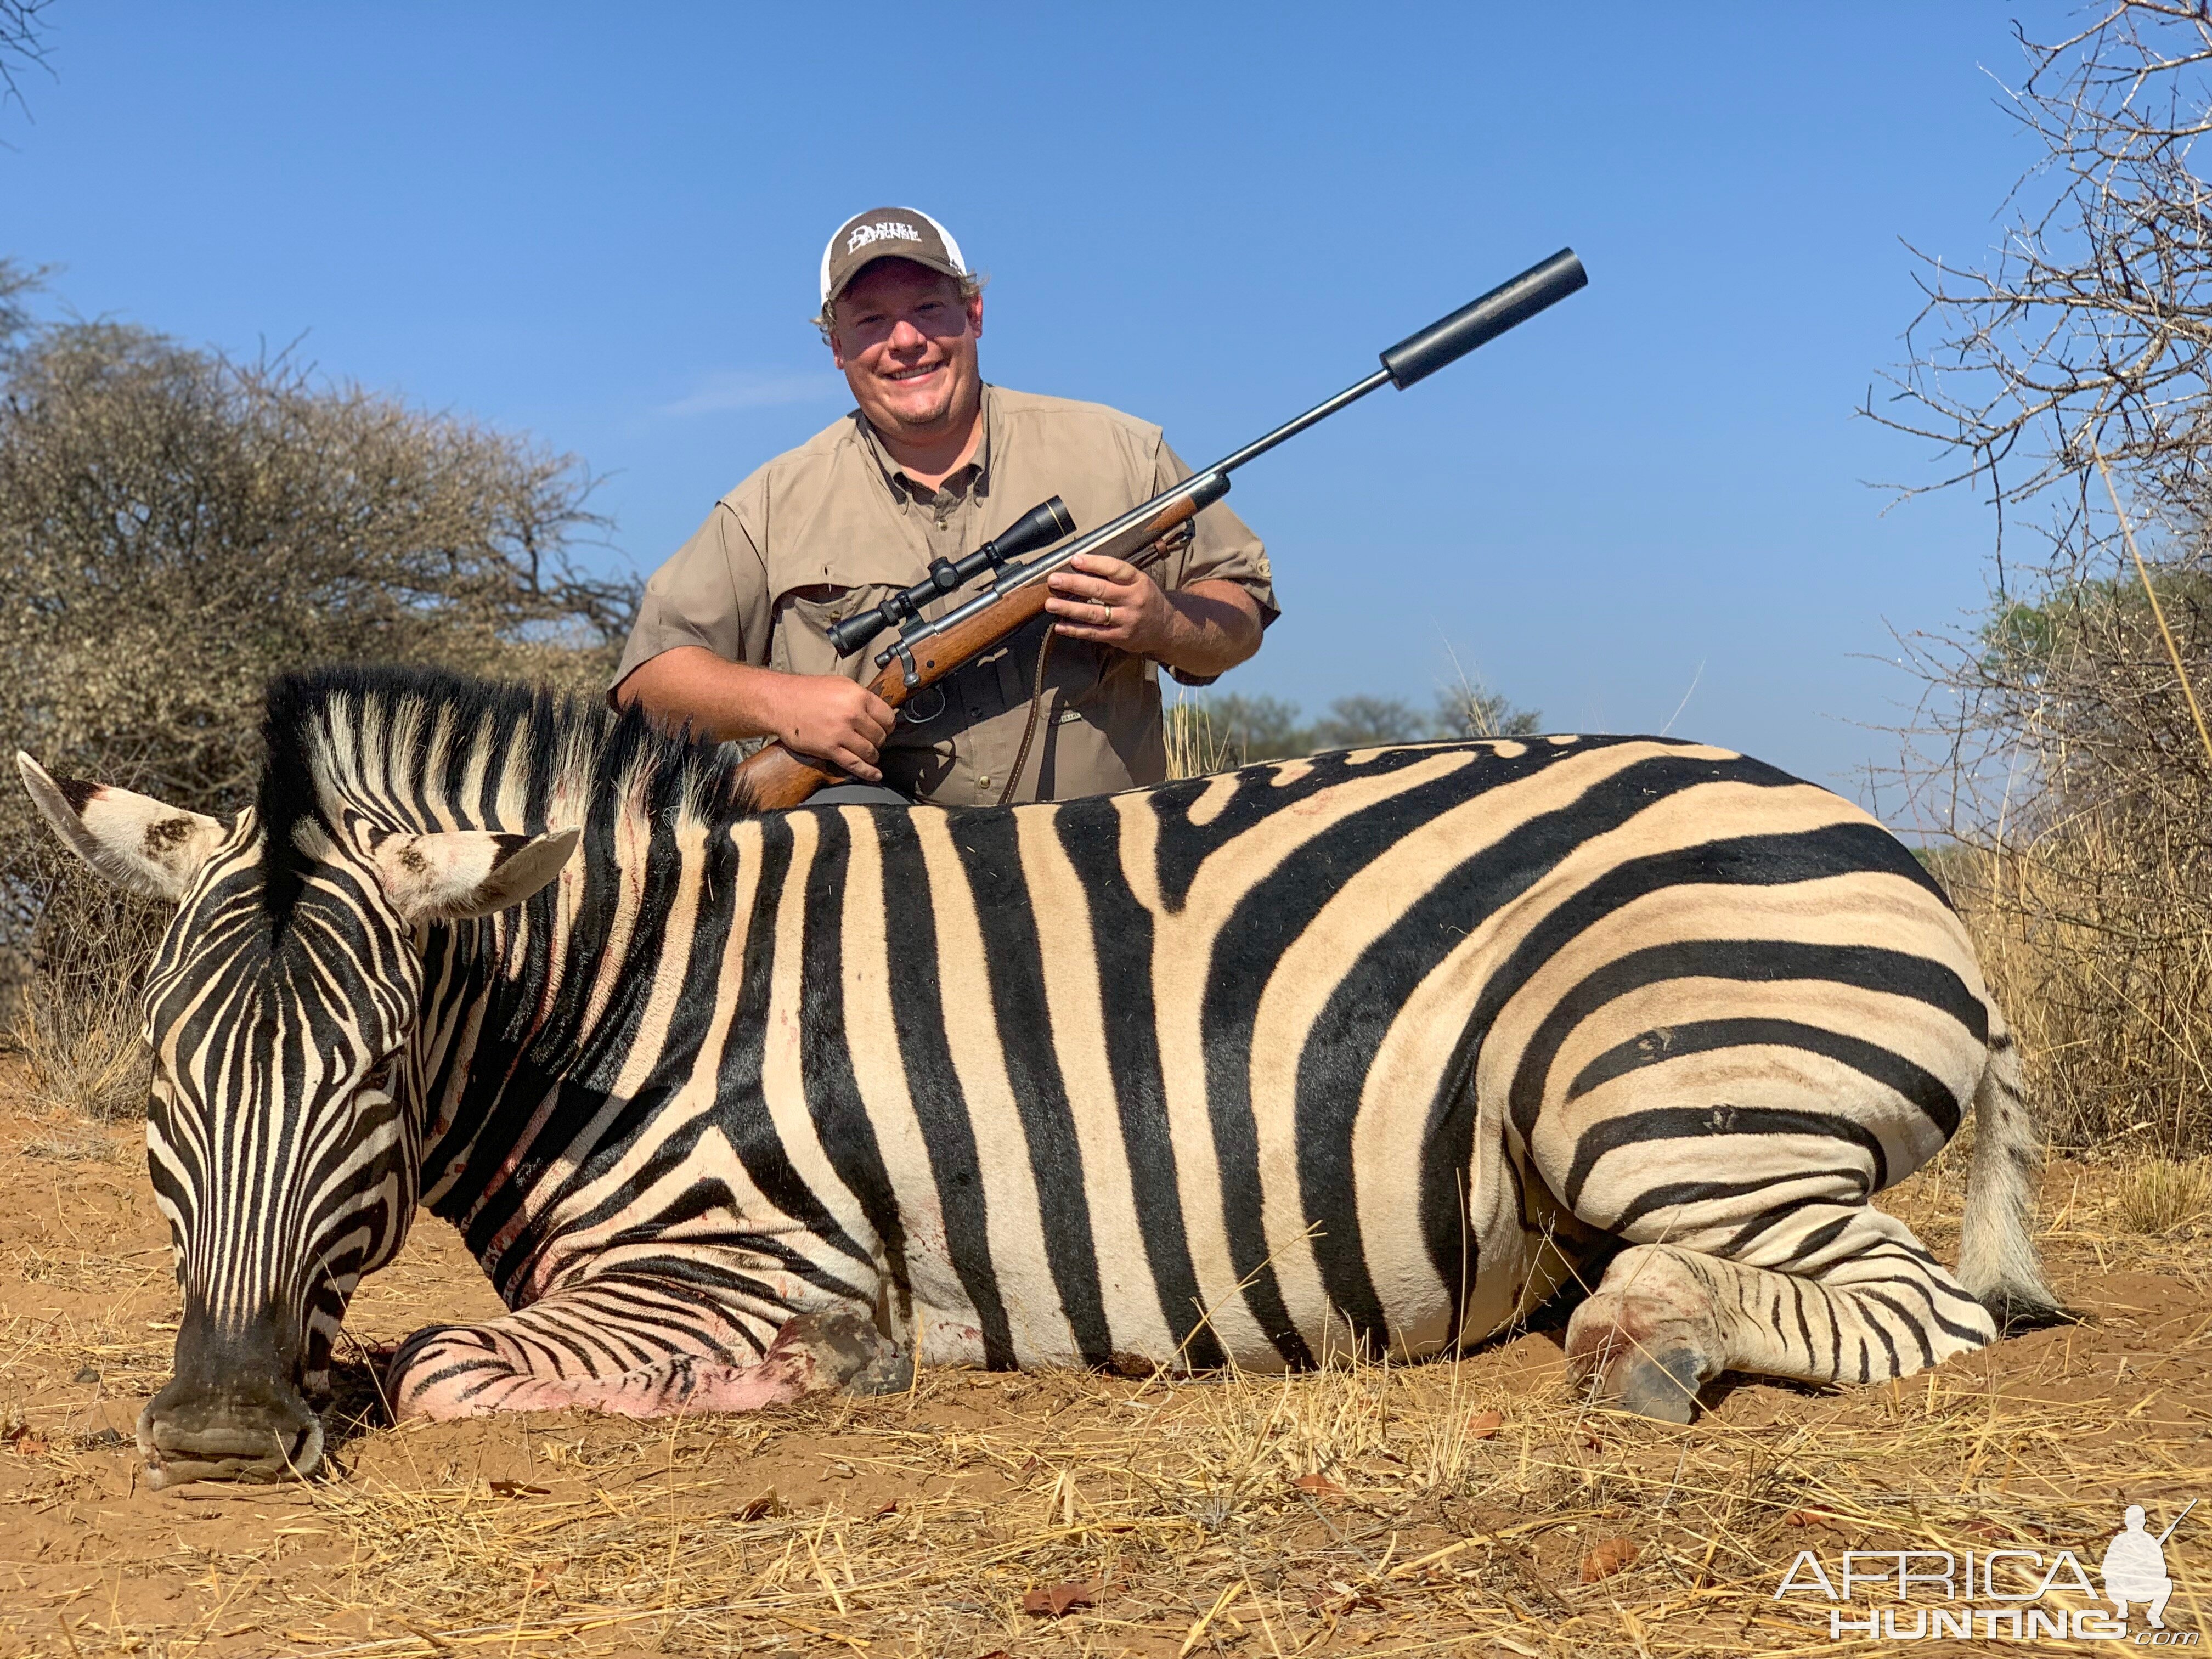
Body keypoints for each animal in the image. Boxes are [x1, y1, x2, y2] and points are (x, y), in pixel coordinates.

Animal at [13, 668, 2052, 1486]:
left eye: (373, 1076)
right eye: (159, 1085)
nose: (210, 1434)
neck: (623, 1009)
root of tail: (1877, 834)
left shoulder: (755, 1258)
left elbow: (438, 1362)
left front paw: (810, 1378)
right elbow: (396, 1348)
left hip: (1648, 1079)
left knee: (1915, 1307)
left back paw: (1645, 1345)